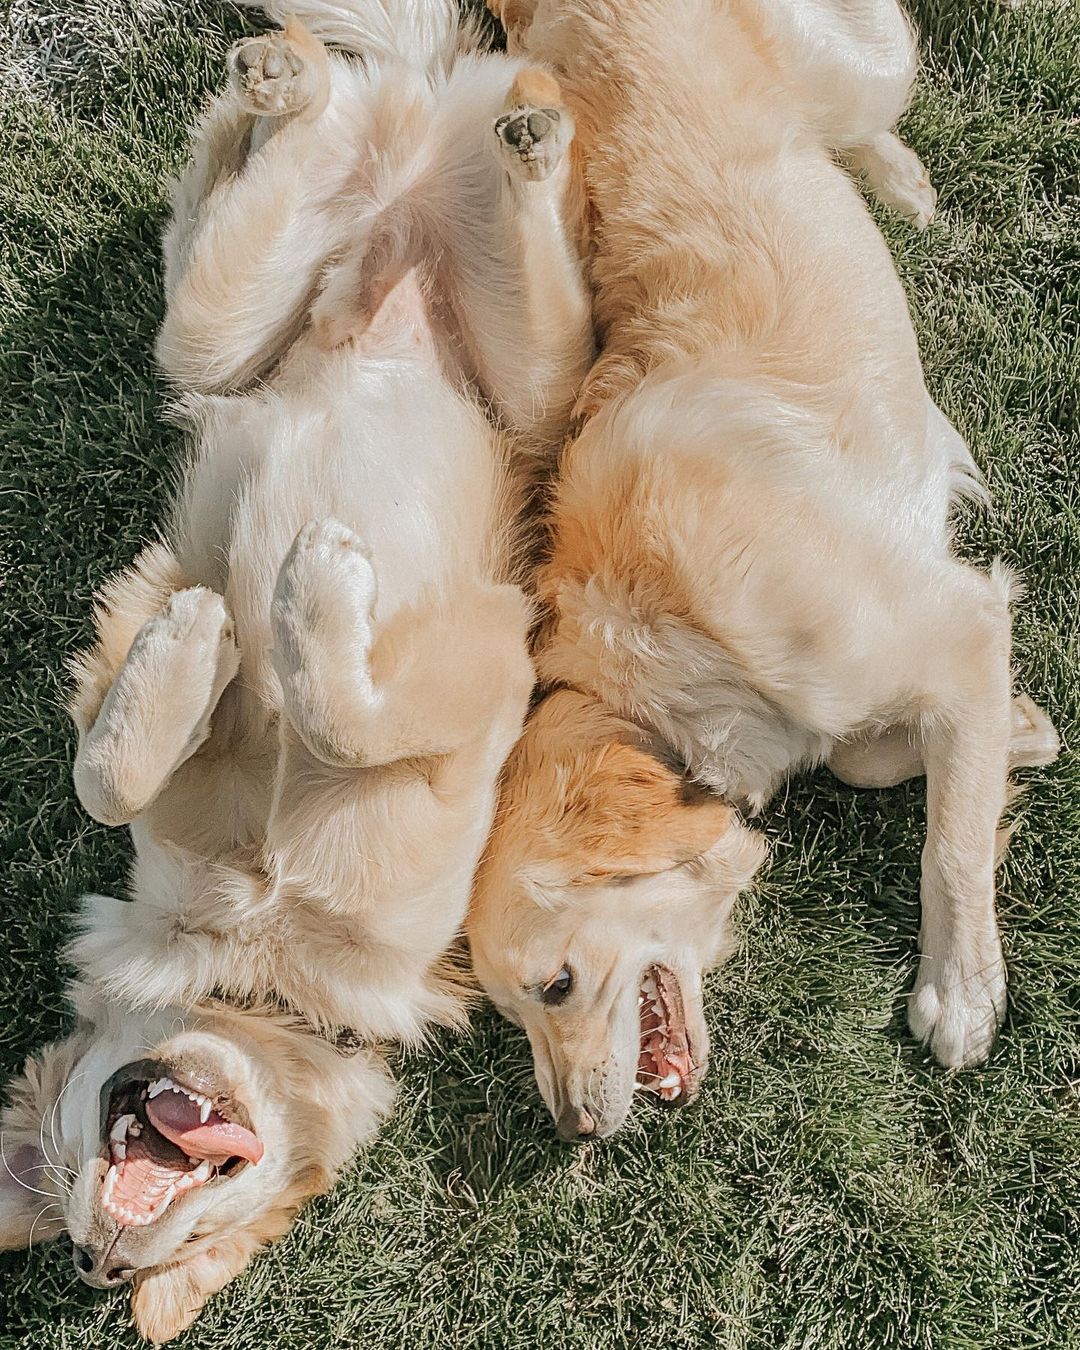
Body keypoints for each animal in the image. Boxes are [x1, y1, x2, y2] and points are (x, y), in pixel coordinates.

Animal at [0, 2, 591, 1339]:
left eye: (135, 1259)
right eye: (89, 1246)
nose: (106, 1252)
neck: (266, 937)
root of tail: (408, 156)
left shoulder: (491, 657)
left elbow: (336, 713)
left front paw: (291, 603)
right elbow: (111, 771)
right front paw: (207, 641)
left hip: (531, 385)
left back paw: (491, 125)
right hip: (218, 333)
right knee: (262, 186)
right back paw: (290, 88)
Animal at [467, 0, 1058, 1139]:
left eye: (555, 987)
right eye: (514, 1020)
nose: (570, 1133)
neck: (671, 658)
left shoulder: (958, 617)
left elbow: (950, 846)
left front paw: (961, 988)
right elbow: (874, 758)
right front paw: (1018, 733)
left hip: (861, 62)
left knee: (883, 83)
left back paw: (904, 181)